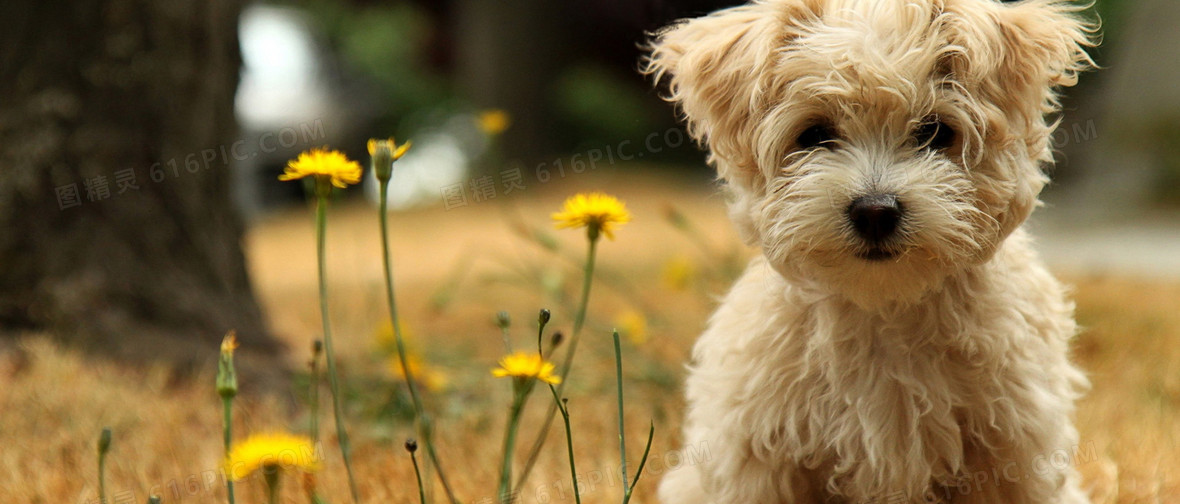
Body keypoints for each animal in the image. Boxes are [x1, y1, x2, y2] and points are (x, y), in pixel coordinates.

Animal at [646, 0, 1095, 504]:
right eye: (814, 134)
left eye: (935, 132)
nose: (875, 211)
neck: (884, 307)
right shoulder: (755, 456)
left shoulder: (1014, 451)